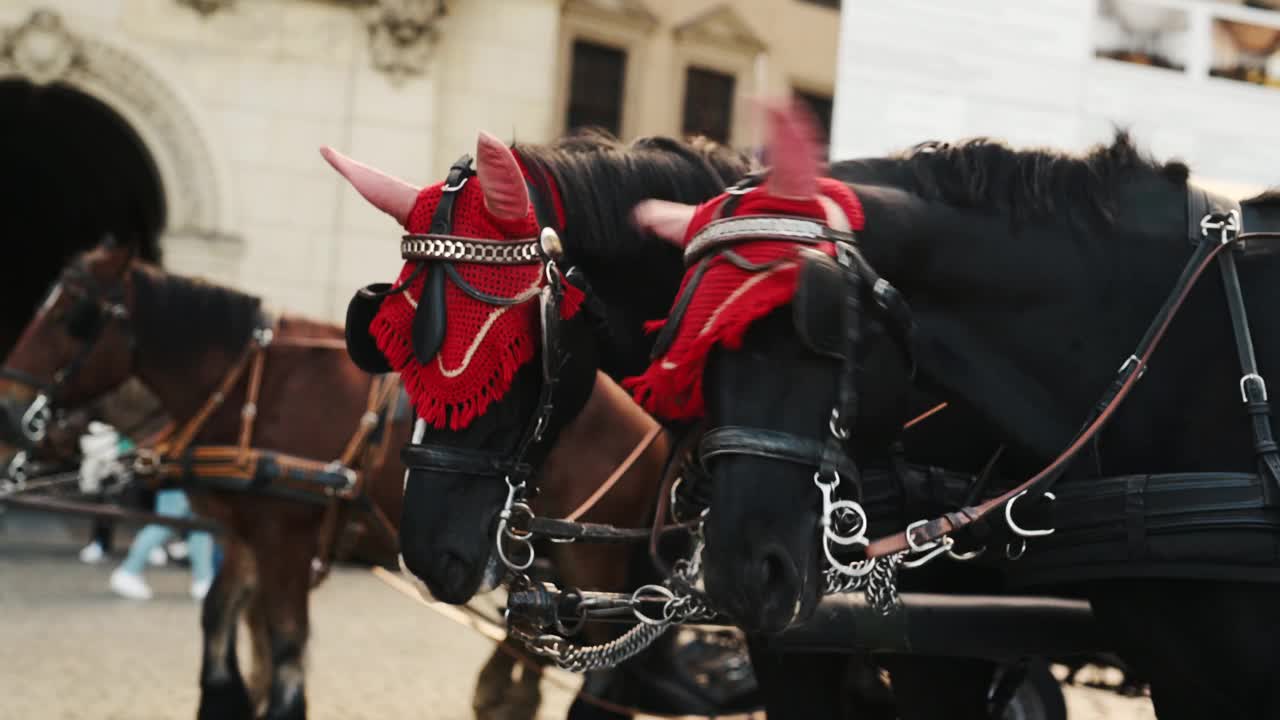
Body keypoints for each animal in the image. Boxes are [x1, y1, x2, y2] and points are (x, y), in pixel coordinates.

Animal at [0, 242, 404, 717]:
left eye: (72, 314)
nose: (6, 410)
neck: (263, 386)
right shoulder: (245, 533)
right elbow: (217, 613)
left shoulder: (286, 536)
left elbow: (286, 649)